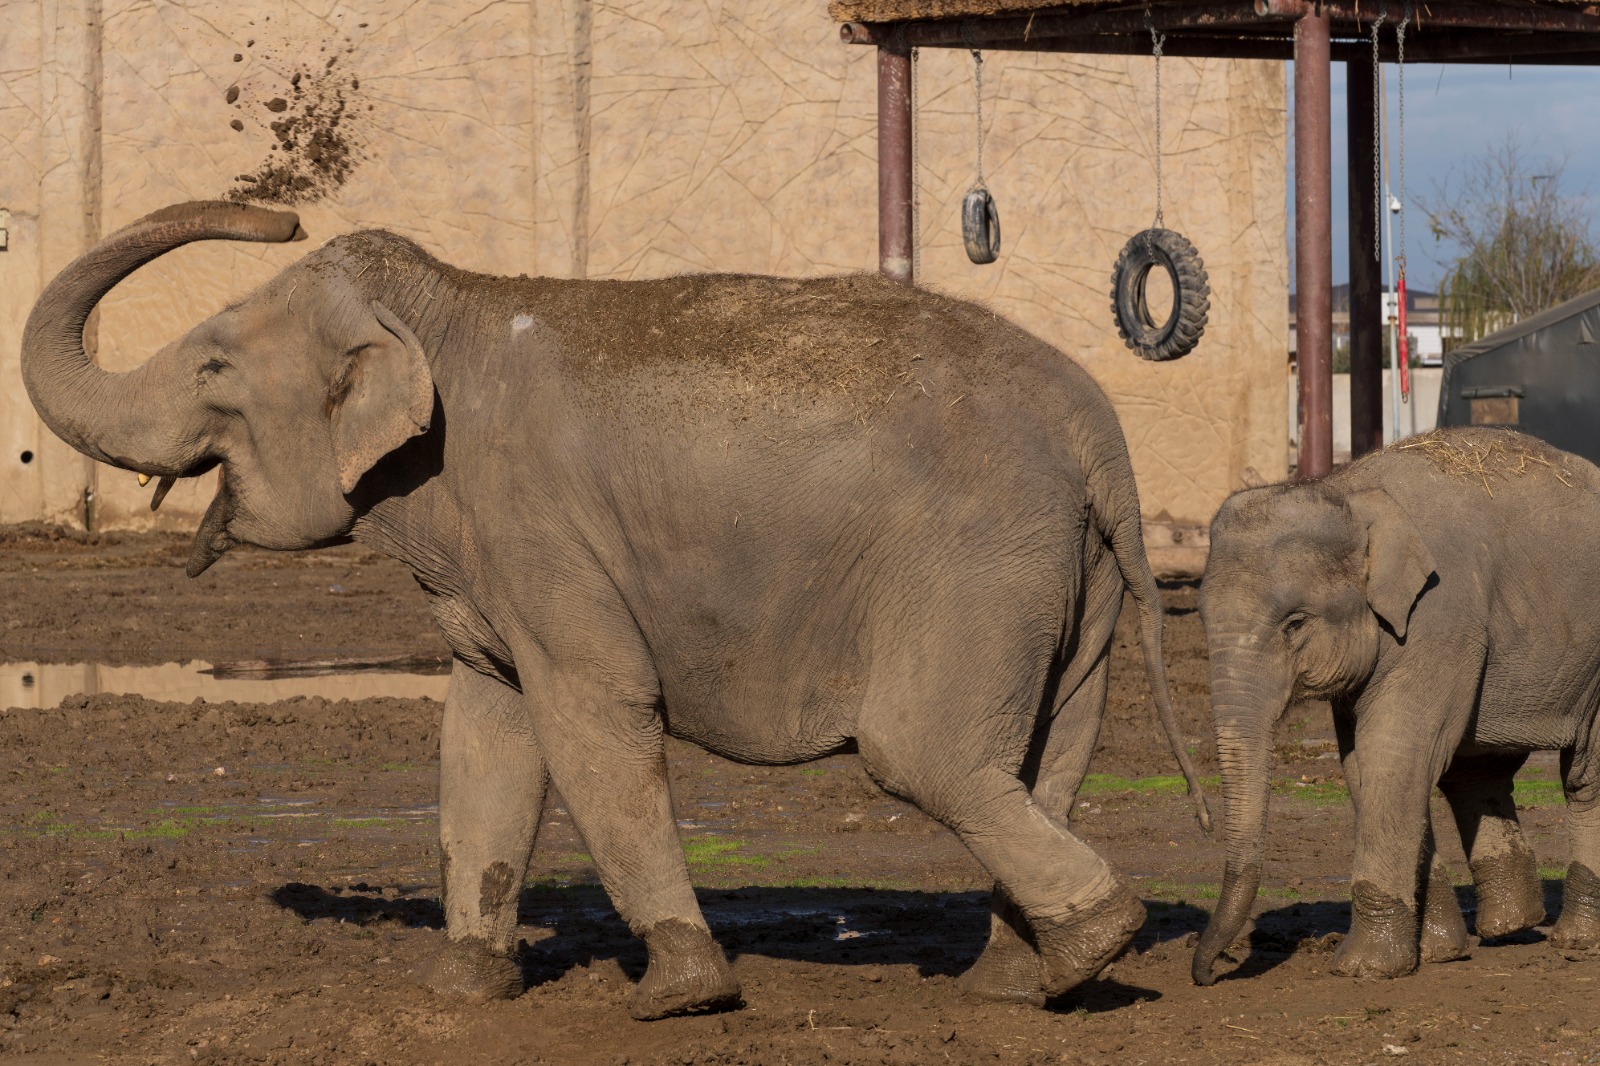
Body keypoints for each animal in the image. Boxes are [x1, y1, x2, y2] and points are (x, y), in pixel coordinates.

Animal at [25, 196, 1203, 1011]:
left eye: (214, 366)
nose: (282, 210)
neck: (443, 307)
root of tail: (1098, 431)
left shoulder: (539, 528)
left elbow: (594, 714)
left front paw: (677, 996)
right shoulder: (491, 559)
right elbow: (484, 732)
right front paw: (461, 992)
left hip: (976, 567)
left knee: (924, 757)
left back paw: (1094, 946)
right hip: (1073, 579)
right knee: (1043, 762)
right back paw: (1022, 984)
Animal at [1190, 428, 1600, 985]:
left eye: (1295, 624)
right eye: (1200, 617)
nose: (1210, 972)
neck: (1348, 491)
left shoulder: (1441, 616)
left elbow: (1394, 753)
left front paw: (1365, 969)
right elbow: (1364, 765)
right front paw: (1438, 952)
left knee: (1584, 778)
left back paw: (1576, 940)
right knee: (1476, 773)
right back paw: (1512, 925)